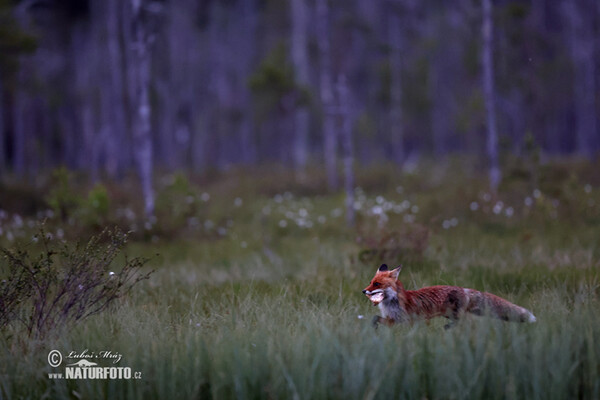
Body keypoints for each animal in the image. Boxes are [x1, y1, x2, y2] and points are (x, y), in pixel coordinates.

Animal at [364, 262, 536, 328]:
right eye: (371, 282)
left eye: (377, 284)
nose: (363, 291)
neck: (391, 303)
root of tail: (463, 288)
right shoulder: (393, 320)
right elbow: (375, 319)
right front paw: (373, 328)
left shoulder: (409, 320)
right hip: (450, 314)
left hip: (455, 315)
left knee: (467, 324)